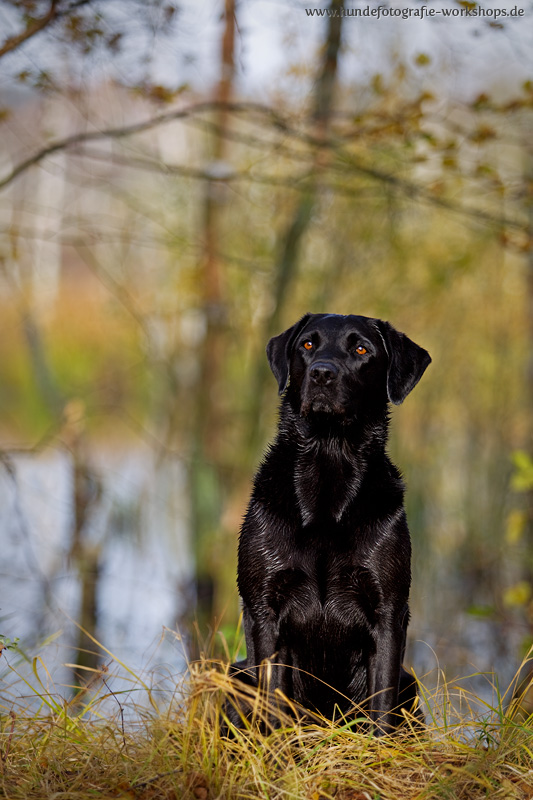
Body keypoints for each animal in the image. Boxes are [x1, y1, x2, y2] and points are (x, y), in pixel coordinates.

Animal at [227, 310, 430, 732]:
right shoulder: (264, 611)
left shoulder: (388, 613)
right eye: (307, 344)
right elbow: (272, 705)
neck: (328, 459)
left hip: (410, 683)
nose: (322, 373)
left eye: (361, 349)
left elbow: (381, 708)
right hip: (235, 673)